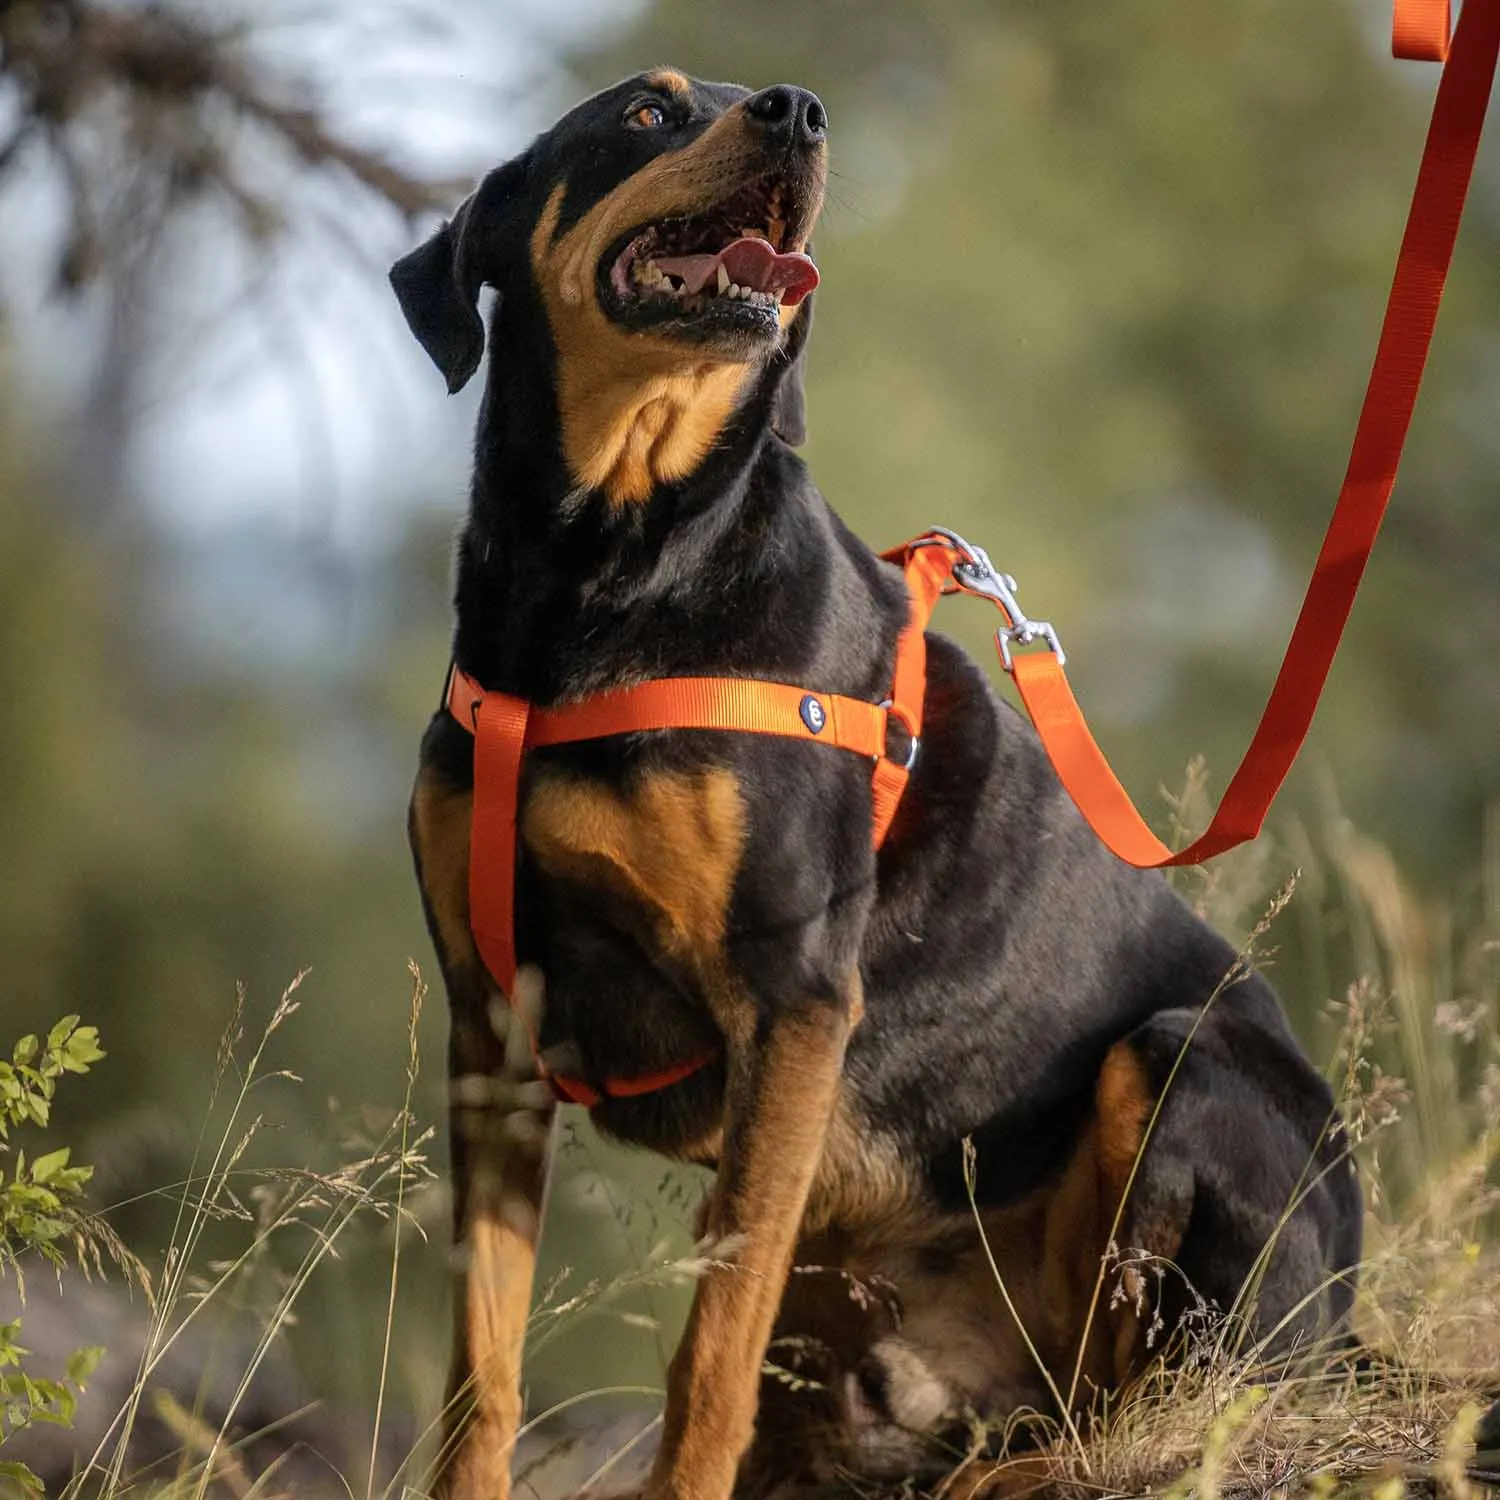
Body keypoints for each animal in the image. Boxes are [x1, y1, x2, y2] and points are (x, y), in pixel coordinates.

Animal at [393, 70, 1368, 1500]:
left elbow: (708, 1358)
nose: (797, 110)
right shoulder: (495, 1032)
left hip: (1178, 1074)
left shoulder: (793, 1002)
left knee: (1155, 1403)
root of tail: (1349, 1327)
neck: (612, 564)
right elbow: (483, 1366)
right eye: (646, 112)